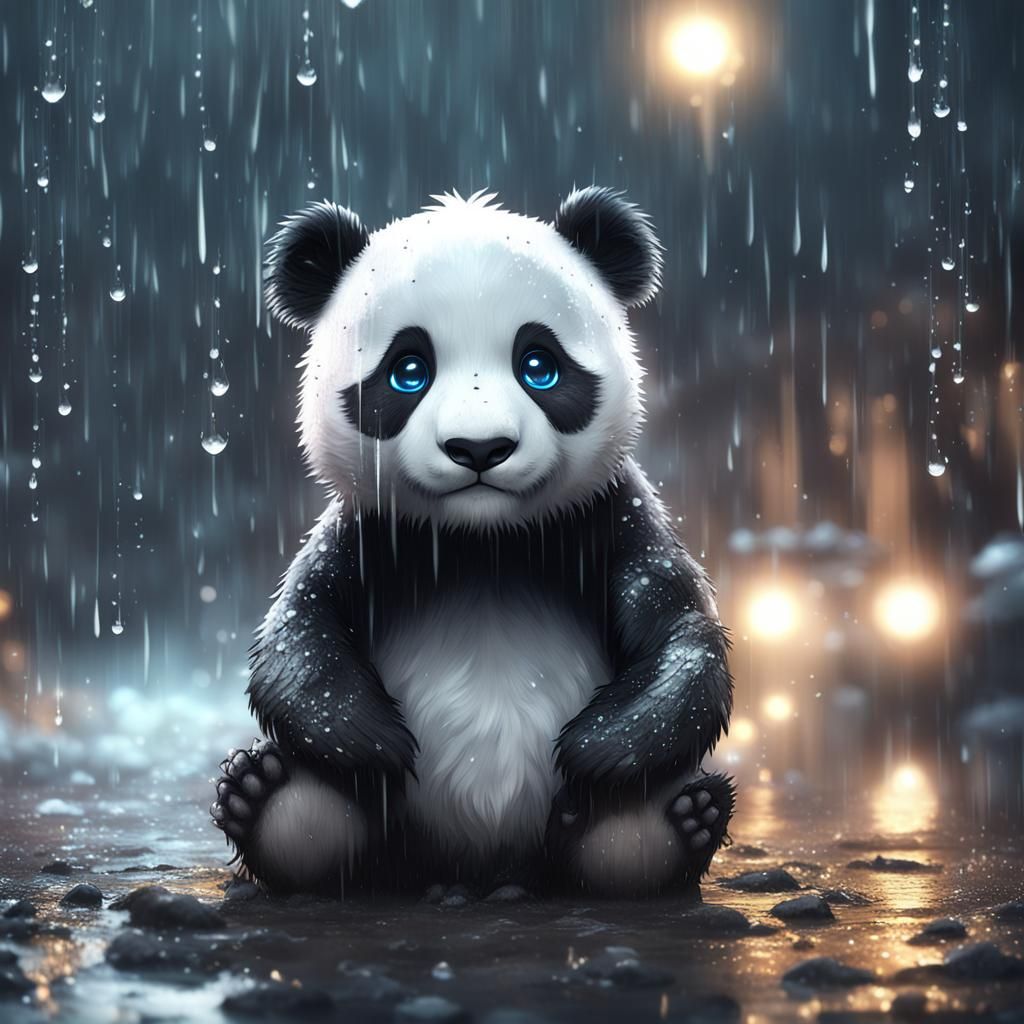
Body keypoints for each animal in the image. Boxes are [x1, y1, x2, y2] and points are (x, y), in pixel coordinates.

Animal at [211, 187, 734, 898]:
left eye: (539, 365)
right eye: (408, 371)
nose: (479, 448)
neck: (483, 542)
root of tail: (485, 873)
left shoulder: (607, 517)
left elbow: (680, 627)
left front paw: (594, 748)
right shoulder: (372, 532)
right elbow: (299, 628)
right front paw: (374, 741)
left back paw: (661, 825)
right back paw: (275, 804)